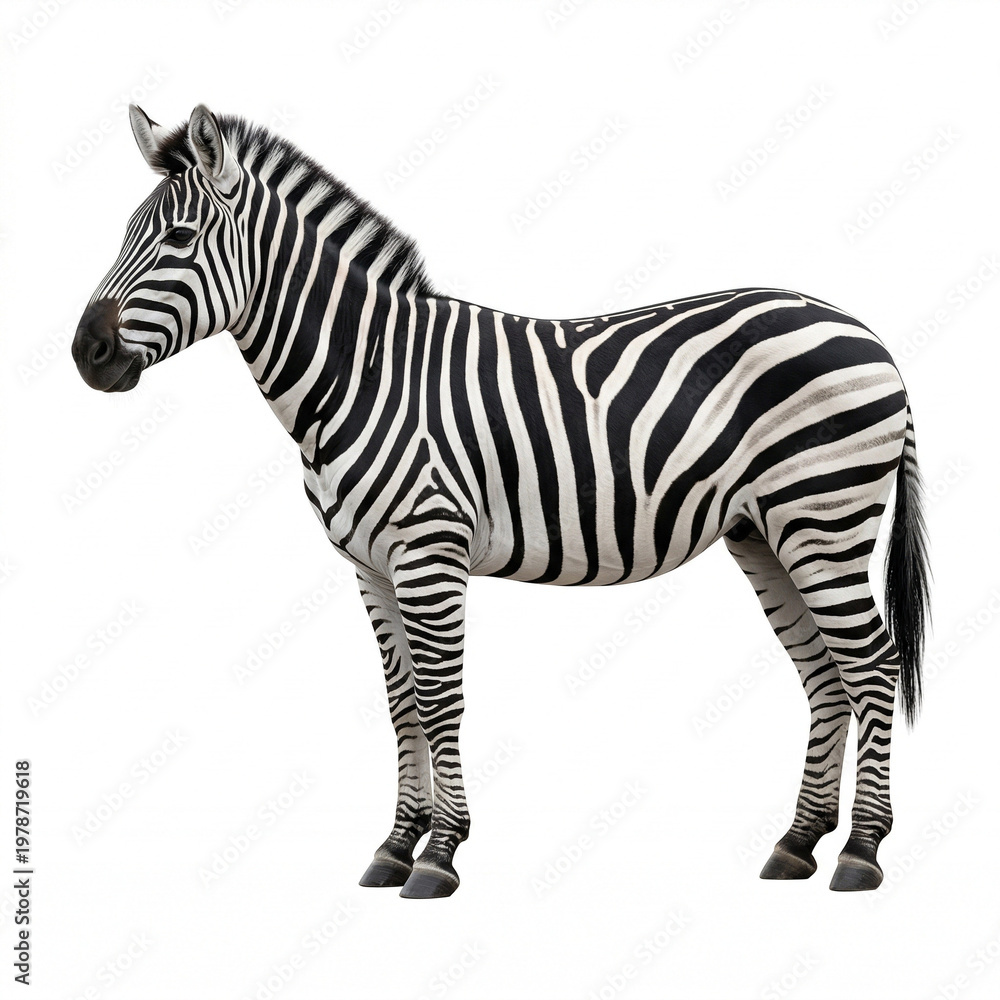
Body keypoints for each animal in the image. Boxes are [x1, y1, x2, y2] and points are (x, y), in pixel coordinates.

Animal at [72, 104, 930, 898]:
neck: (364, 373)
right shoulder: (370, 566)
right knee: (823, 674)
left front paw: (440, 855)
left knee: (872, 665)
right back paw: (799, 841)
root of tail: (867, 333)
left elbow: (440, 699)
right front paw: (395, 846)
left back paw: (860, 852)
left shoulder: (428, 551)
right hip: (767, 530)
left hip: (825, 516)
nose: (87, 353)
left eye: (179, 239)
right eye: (125, 233)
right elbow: (402, 705)